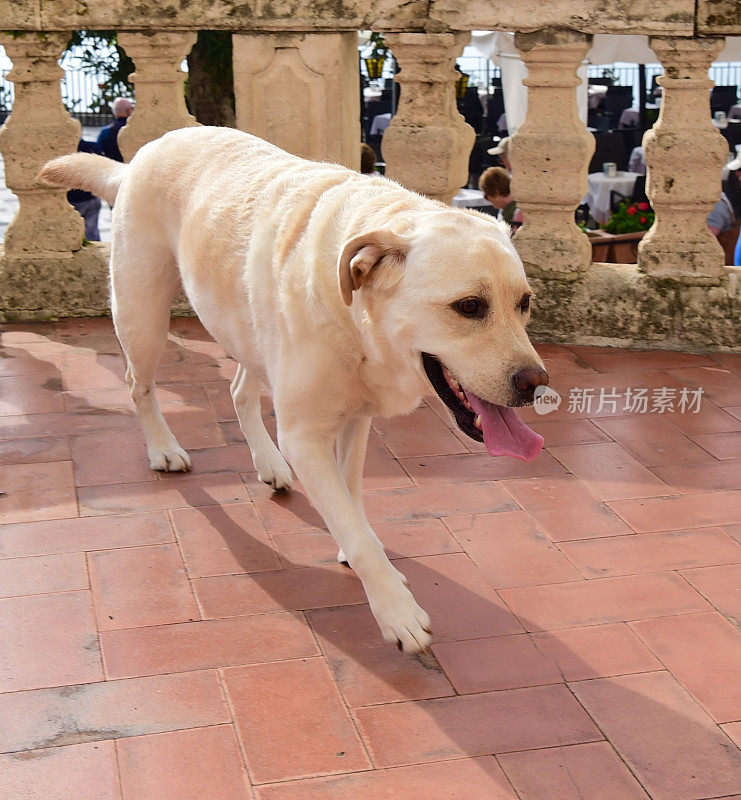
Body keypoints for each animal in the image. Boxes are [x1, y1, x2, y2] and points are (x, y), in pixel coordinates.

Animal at [42, 125, 548, 648]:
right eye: (469, 306)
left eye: (525, 303)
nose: (537, 383)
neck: (354, 319)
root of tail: (142, 154)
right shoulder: (305, 436)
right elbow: (355, 531)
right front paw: (395, 608)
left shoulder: (356, 419)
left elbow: (350, 495)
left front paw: (355, 544)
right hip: (143, 317)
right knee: (138, 386)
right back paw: (163, 448)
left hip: (248, 334)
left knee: (239, 390)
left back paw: (268, 462)